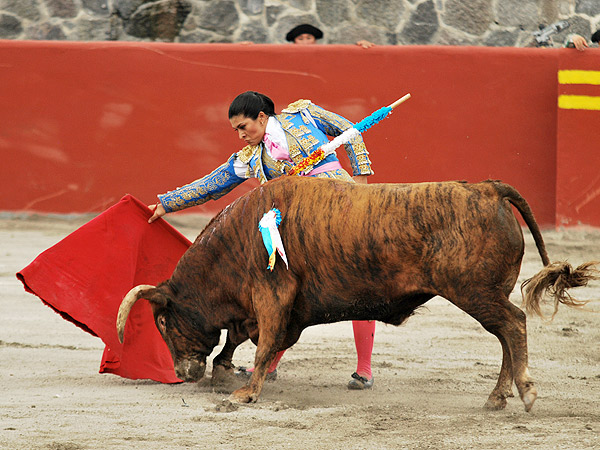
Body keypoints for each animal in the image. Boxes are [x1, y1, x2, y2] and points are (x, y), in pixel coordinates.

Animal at [116, 176, 596, 412]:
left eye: (163, 321)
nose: (182, 373)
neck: (239, 236)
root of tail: (487, 188)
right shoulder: (276, 307)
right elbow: (243, 338)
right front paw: (224, 372)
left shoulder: (273, 294)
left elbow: (263, 342)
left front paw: (245, 393)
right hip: (486, 292)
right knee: (505, 336)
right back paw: (496, 398)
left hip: (473, 291)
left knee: (513, 326)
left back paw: (525, 393)